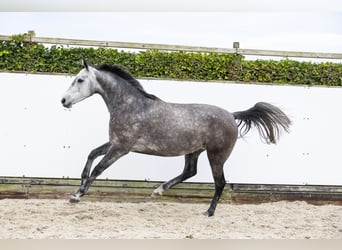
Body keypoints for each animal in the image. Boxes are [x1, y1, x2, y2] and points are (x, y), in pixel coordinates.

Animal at [61, 61, 292, 216]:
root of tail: (231, 115)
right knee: (190, 171)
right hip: (194, 151)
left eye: (79, 80)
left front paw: (77, 195)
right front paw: (80, 180)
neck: (131, 105)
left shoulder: (121, 147)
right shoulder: (115, 142)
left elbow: (99, 169)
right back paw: (158, 191)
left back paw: (208, 212)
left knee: (220, 182)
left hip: (216, 155)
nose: (63, 100)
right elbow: (92, 154)